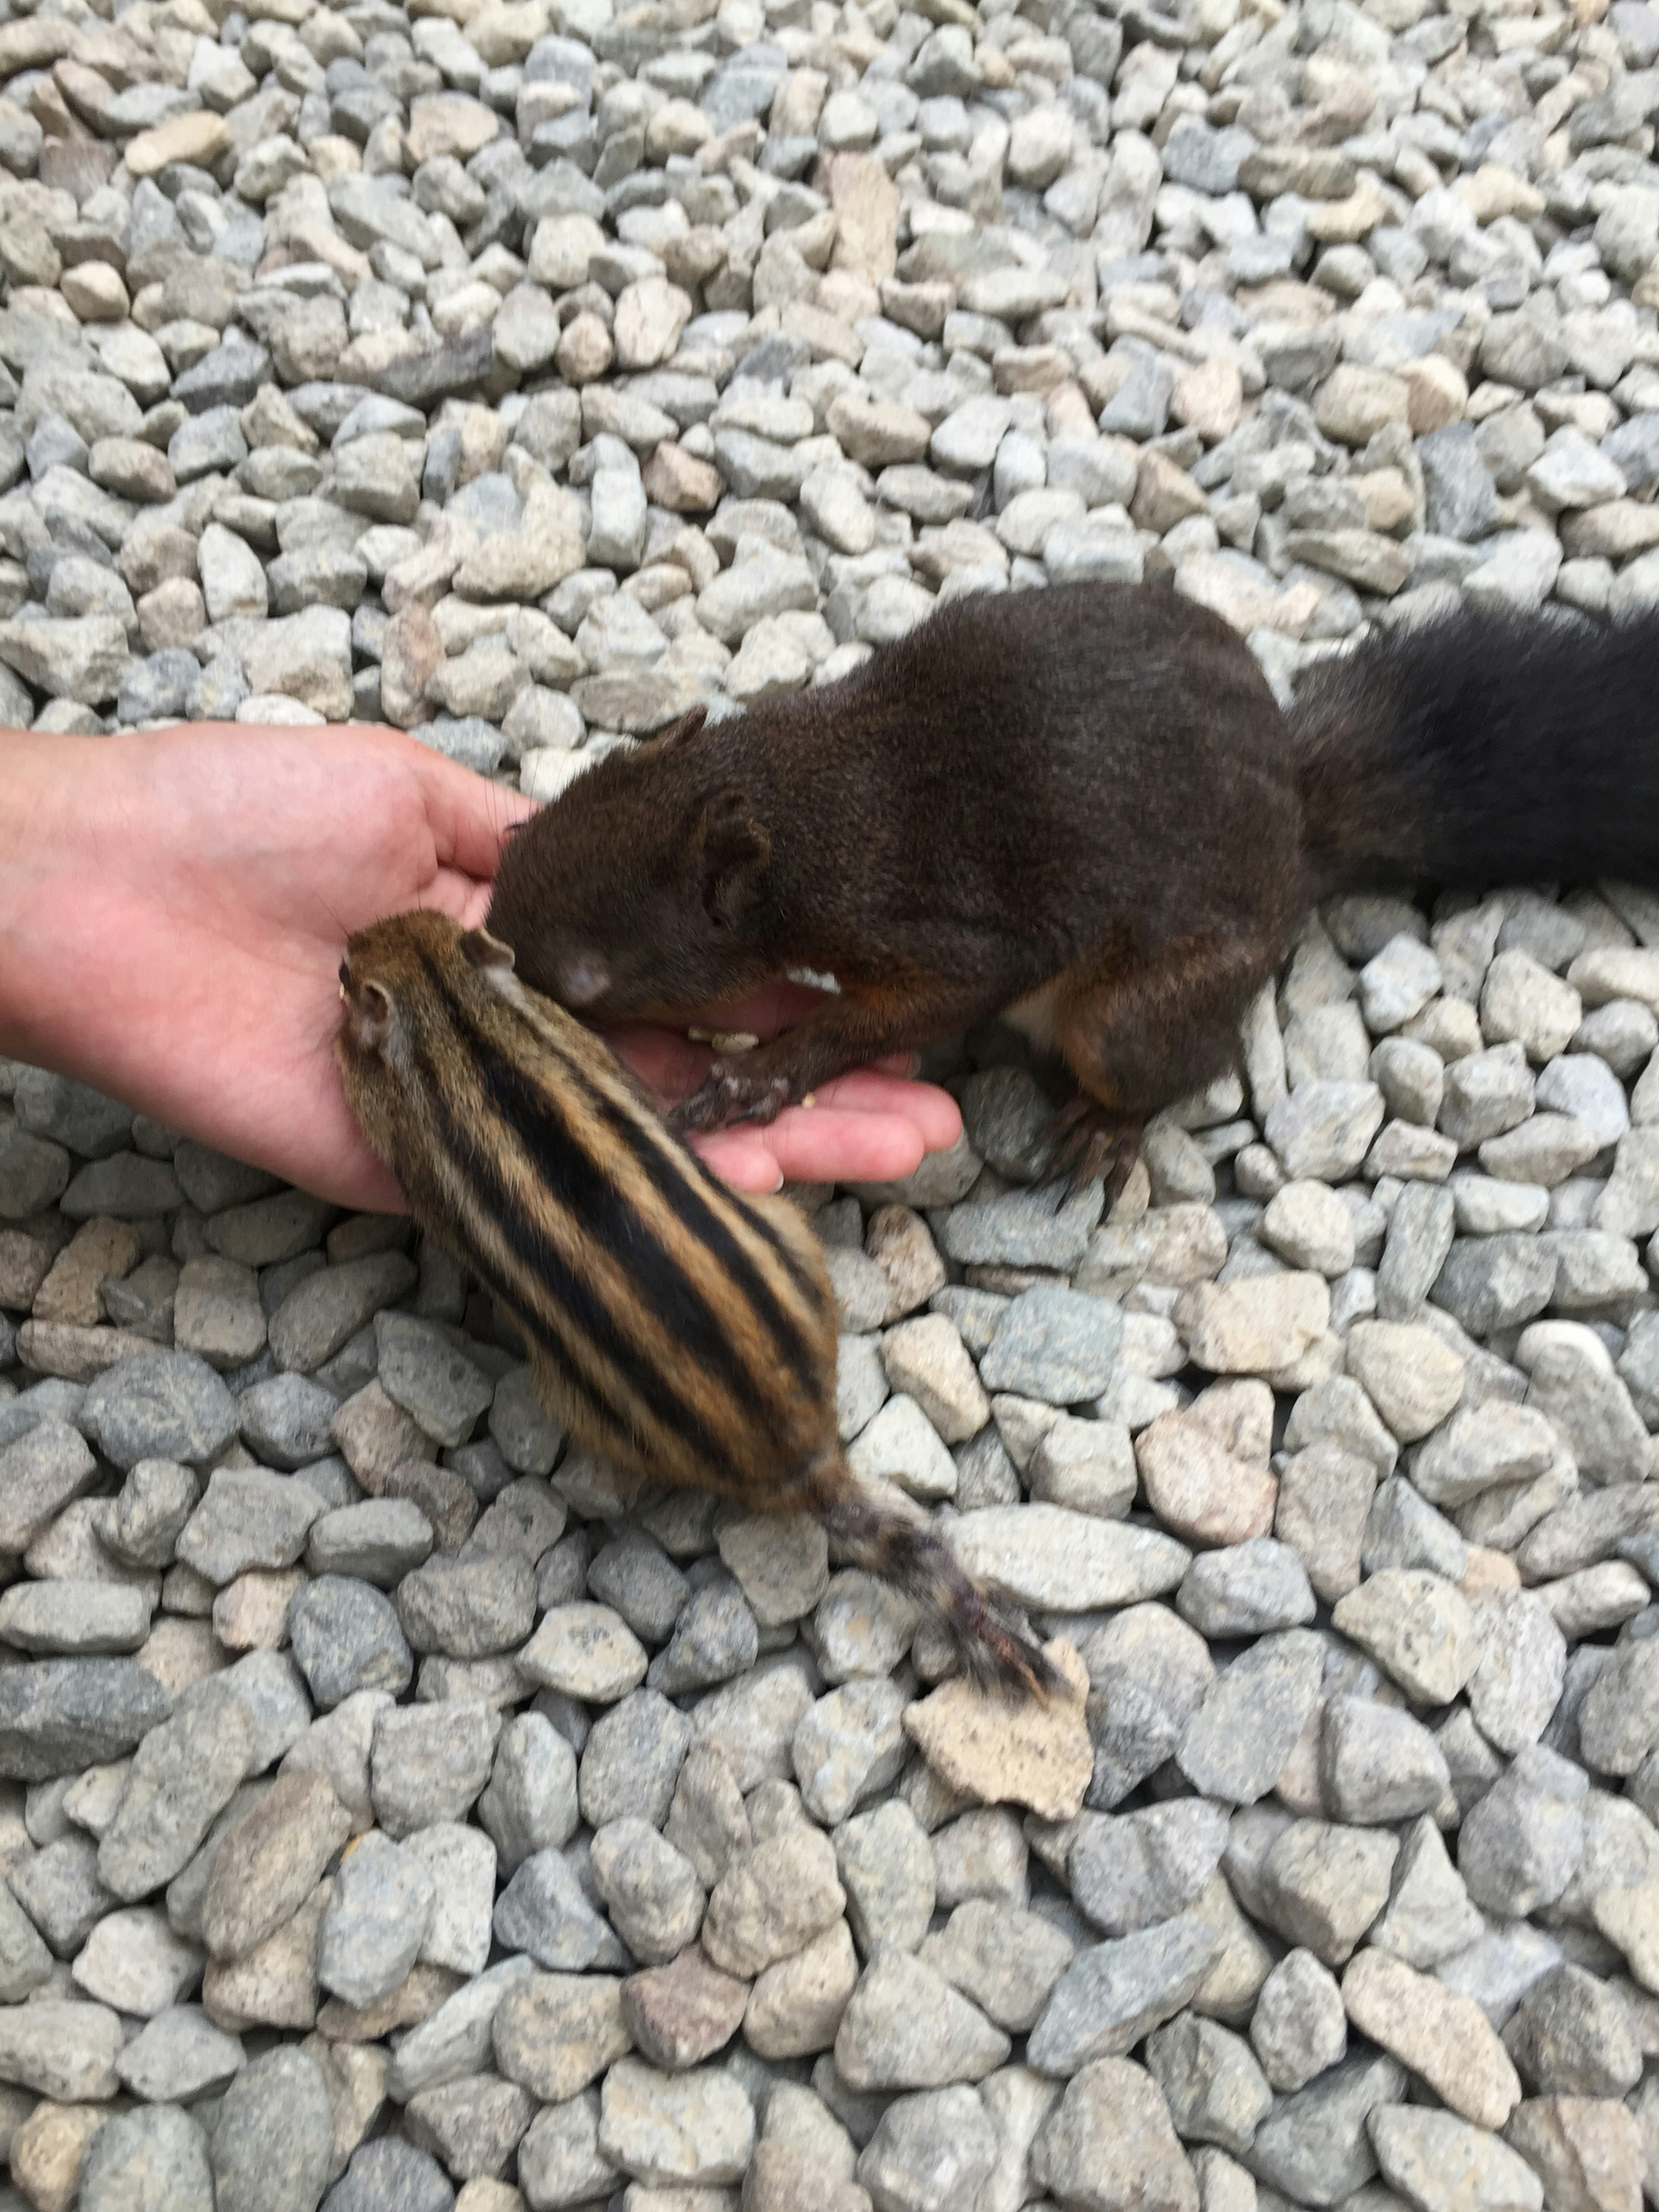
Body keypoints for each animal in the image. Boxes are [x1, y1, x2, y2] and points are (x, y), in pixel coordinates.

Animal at [338, 907, 1066, 1699]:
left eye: (346, 975)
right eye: (412, 924)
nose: (349, 944)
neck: (452, 1015)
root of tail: (802, 1459)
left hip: (583, 1397)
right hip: (787, 1239)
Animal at [486, 579, 1659, 1185]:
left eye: (587, 980)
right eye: (531, 830)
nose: (492, 936)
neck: (807, 800)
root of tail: (1293, 844)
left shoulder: (934, 927)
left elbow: (909, 1004)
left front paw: (760, 1074)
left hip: (1133, 1014)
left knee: (1179, 1061)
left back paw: (1109, 1127)